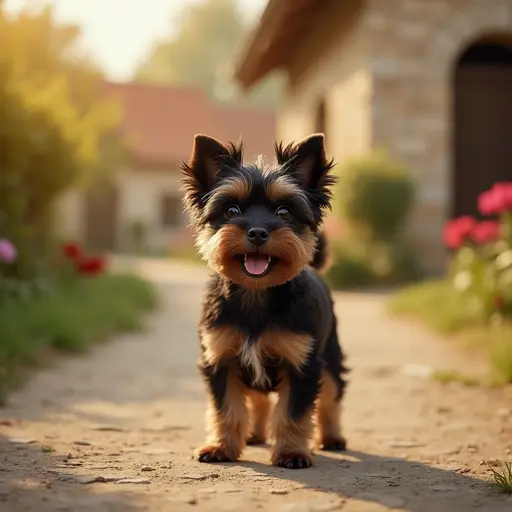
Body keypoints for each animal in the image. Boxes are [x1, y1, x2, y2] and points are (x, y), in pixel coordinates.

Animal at [180, 132, 348, 468]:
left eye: (285, 213)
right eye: (231, 211)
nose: (257, 232)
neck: (256, 292)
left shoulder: (303, 364)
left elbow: (293, 414)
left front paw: (292, 452)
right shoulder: (220, 359)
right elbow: (226, 409)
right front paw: (220, 446)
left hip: (331, 354)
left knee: (331, 396)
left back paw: (332, 437)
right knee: (257, 400)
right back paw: (254, 434)